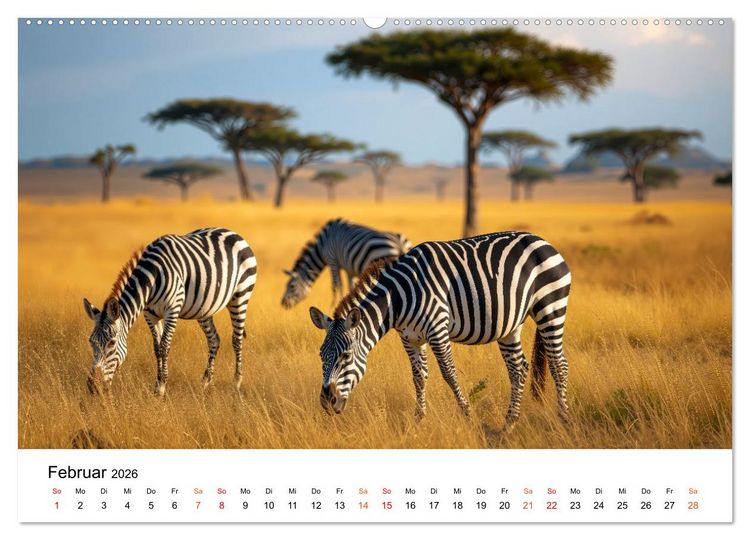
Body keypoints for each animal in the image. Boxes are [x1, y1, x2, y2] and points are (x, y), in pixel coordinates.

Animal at [83, 227, 257, 396]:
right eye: (91, 341)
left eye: (112, 343)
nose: (93, 387)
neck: (152, 277)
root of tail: (231, 231)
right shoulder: (150, 314)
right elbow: (156, 347)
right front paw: (157, 384)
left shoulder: (172, 310)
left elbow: (164, 346)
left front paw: (161, 387)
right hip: (204, 308)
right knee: (214, 339)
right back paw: (206, 382)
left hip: (241, 296)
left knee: (236, 339)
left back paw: (236, 382)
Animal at [281, 218, 412, 309]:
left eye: (291, 286)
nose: (282, 304)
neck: (322, 244)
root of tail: (399, 243)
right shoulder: (349, 268)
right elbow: (350, 286)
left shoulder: (332, 261)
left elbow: (336, 285)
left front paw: (333, 305)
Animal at [309, 231, 572, 431]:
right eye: (321, 356)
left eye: (346, 356)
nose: (326, 402)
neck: (398, 300)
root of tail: (542, 241)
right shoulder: (410, 338)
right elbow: (418, 377)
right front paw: (418, 420)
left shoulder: (437, 330)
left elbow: (449, 373)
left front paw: (468, 416)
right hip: (510, 326)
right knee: (519, 368)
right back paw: (509, 423)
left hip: (550, 308)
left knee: (559, 364)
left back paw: (564, 418)